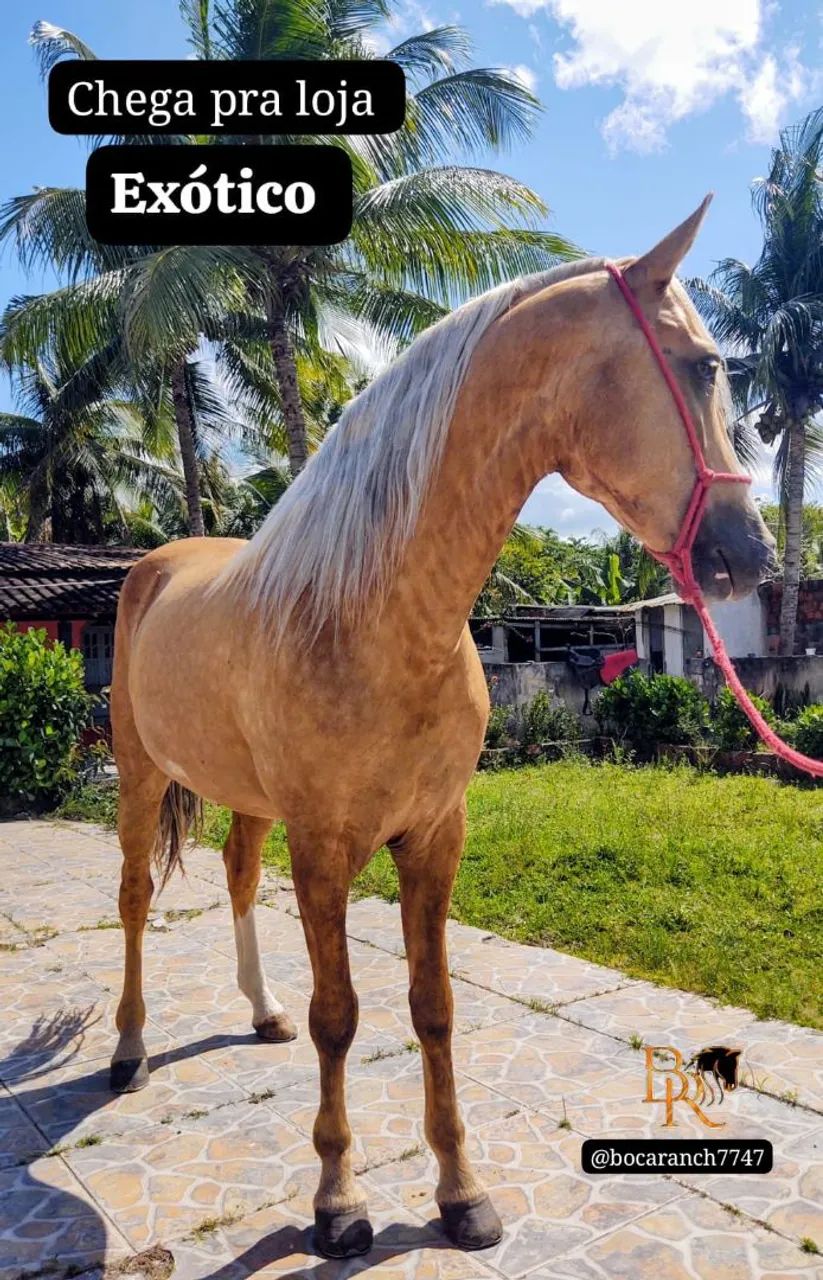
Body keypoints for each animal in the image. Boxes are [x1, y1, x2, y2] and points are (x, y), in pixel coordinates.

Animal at [108, 198, 775, 1258]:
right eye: (705, 367)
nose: (749, 554)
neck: (372, 613)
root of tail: (158, 562)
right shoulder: (325, 848)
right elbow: (340, 1016)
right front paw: (338, 1203)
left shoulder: (435, 836)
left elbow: (434, 1009)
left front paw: (460, 1193)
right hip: (140, 776)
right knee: (135, 898)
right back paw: (129, 1049)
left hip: (248, 801)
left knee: (237, 875)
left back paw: (258, 1012)